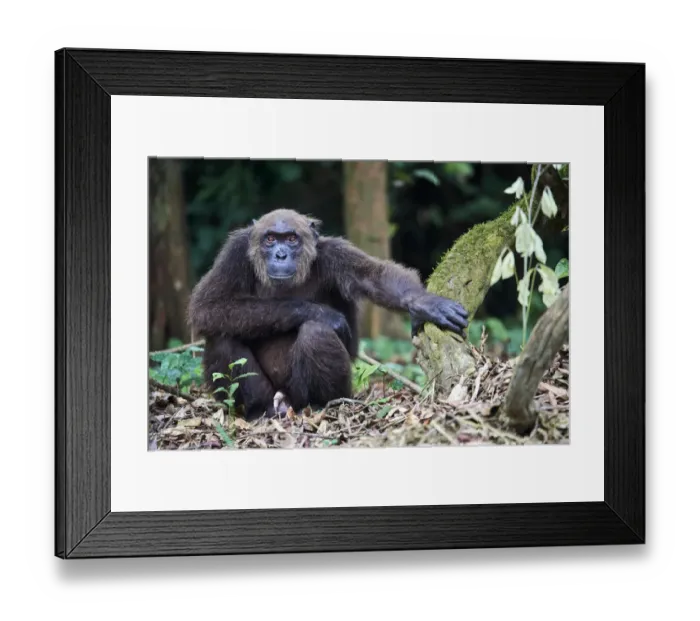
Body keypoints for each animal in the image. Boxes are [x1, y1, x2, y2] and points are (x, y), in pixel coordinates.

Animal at [187, 208, 468, 420]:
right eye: (270, 239)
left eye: (292, 239)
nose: (280, 254)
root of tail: (284, 401)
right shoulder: (233, 253)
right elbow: (207, 306)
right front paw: (324, 314)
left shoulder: (337, 254)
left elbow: (376, 278)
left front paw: (424, 303)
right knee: (222, 337)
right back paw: (258, 410)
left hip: (305, 394)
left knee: (316, 334)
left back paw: (322, 404)